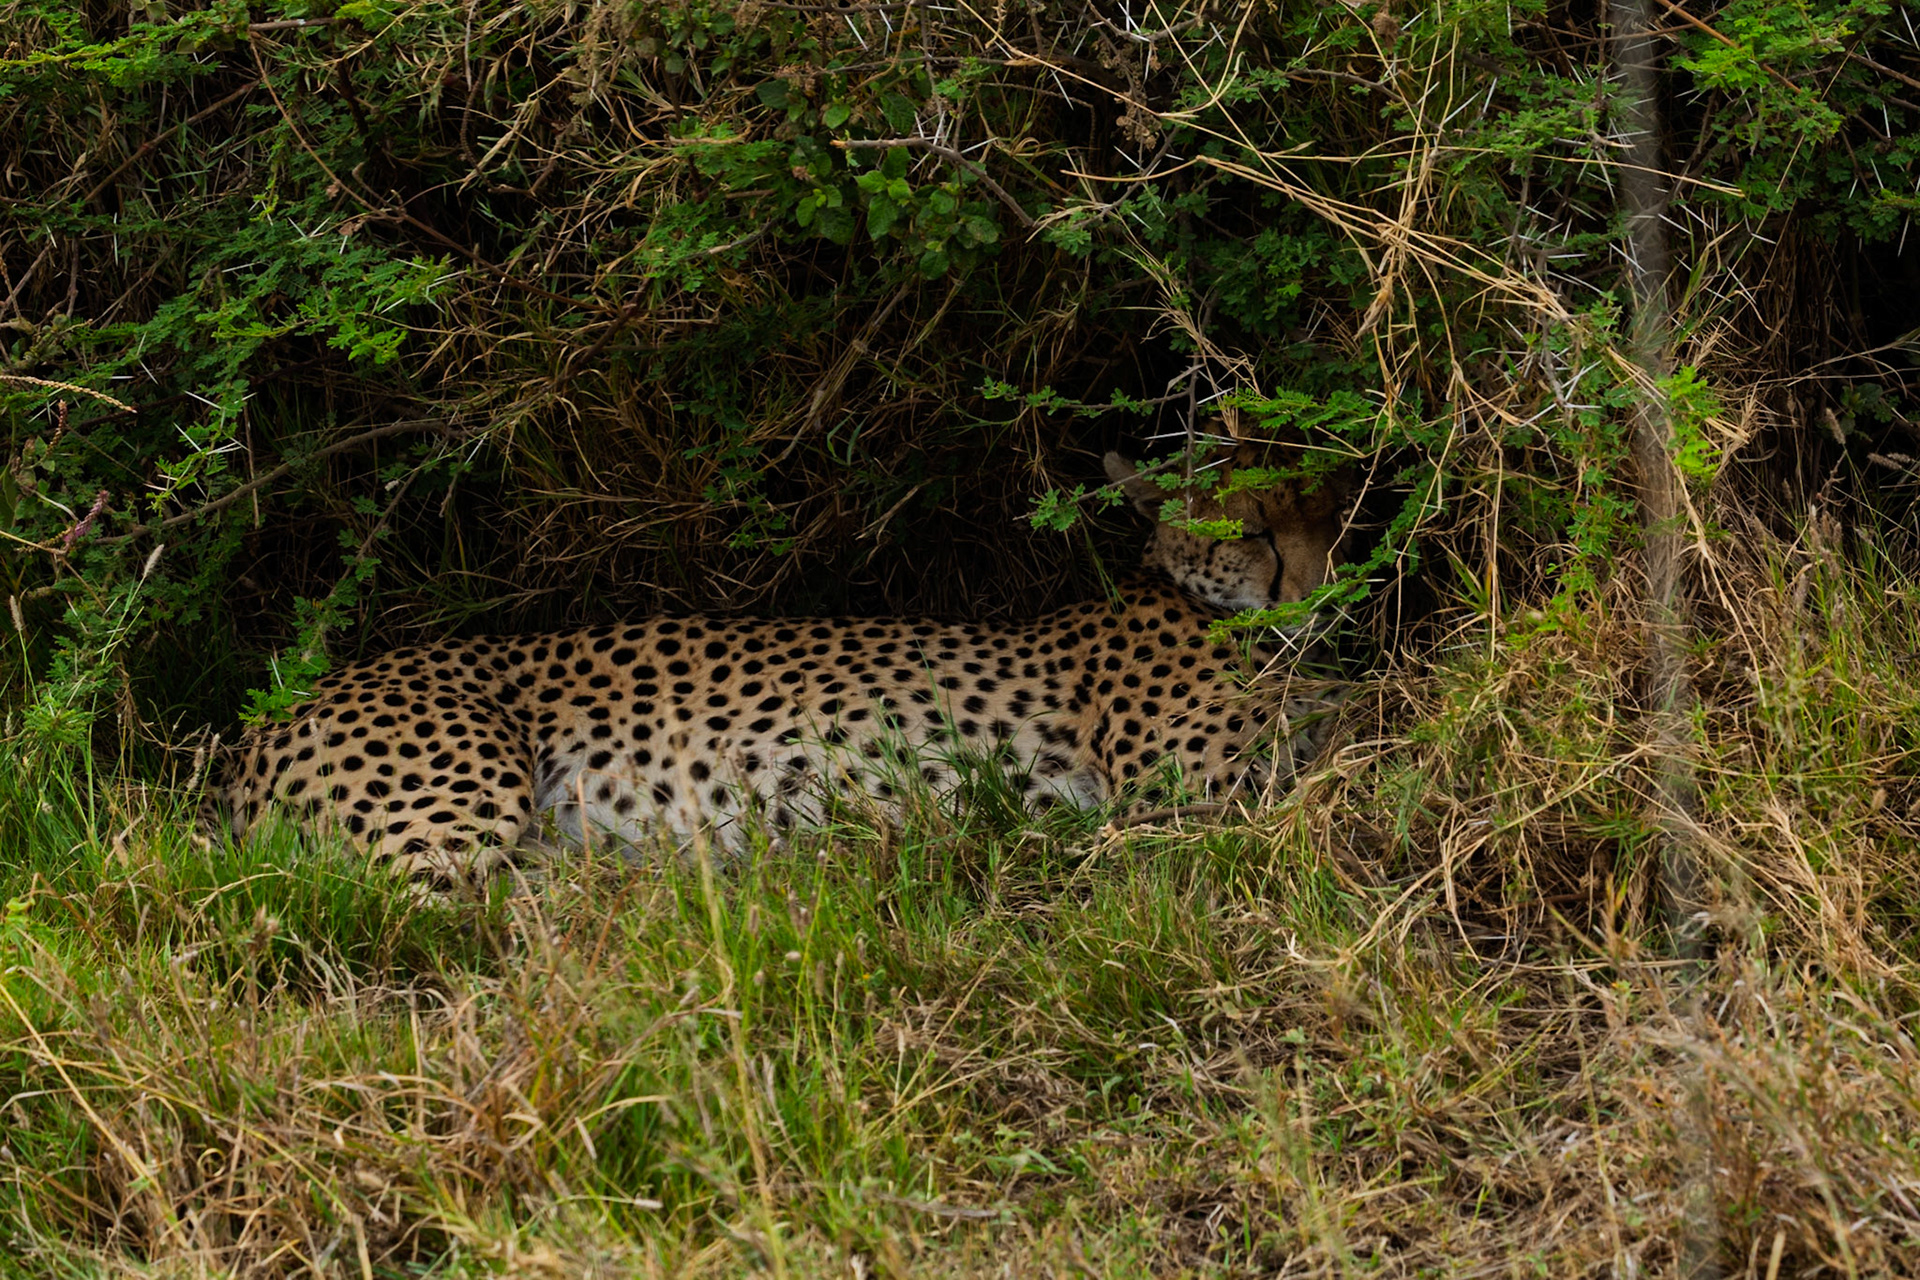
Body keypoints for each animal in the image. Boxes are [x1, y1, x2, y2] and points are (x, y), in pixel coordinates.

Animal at [216, 446, 1351, 883]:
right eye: (1252, 528)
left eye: (1330, 512)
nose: (1317, 587)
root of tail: (266, 722)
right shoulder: (1188, 797)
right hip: (456, 808)